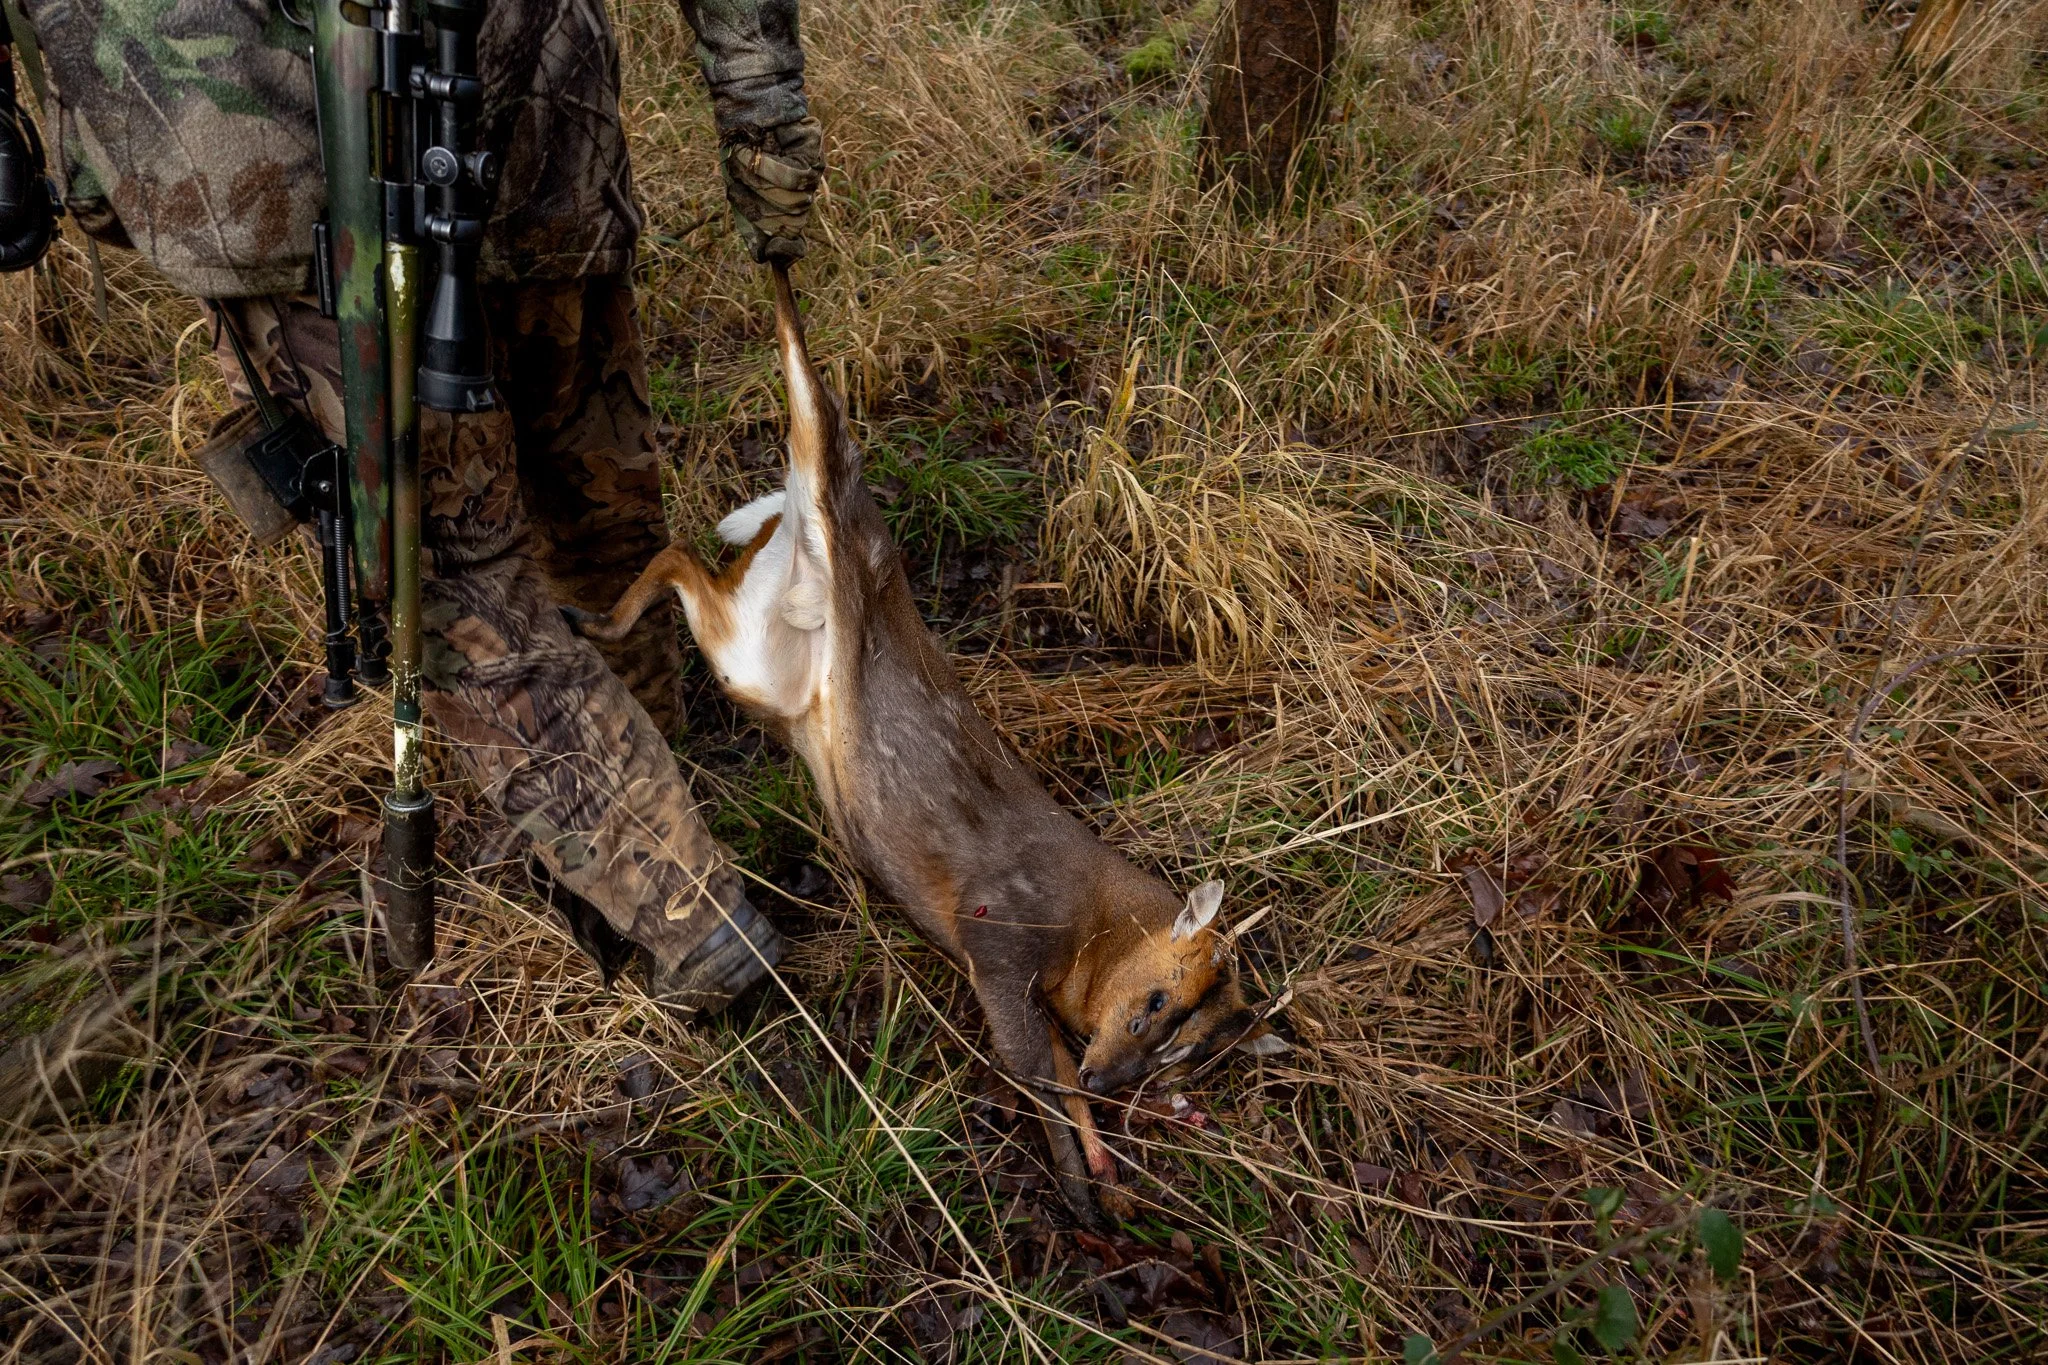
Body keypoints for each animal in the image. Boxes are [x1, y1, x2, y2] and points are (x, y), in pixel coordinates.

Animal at [566, 264, 1286, 1223]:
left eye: (1185, 1051)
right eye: (1155, 999)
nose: (1116, 1077)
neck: (1088, 936)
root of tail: (797, 534)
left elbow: (1053, 1068)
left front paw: (1101, 1167)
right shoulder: (996, 930)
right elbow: (1034, 1069)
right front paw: (1075, 1189)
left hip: (760, 660)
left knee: (691, 554)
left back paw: (594, 613)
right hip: (799, 559)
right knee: (805, 419)